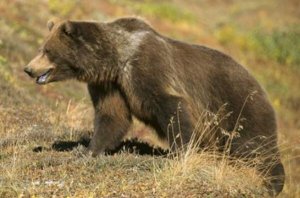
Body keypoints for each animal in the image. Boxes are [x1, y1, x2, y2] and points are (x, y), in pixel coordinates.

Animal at [23, 17, 284, 196]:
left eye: (47, 50)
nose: (28, 68)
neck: (115, 59)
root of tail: (261, 86)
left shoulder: (146, 68)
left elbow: (171, 107)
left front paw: (181, 153)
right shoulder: (110, 84)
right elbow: (112, 117)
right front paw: (89, 150)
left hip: (238, 105)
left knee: (254, 146)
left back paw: (274, 182)